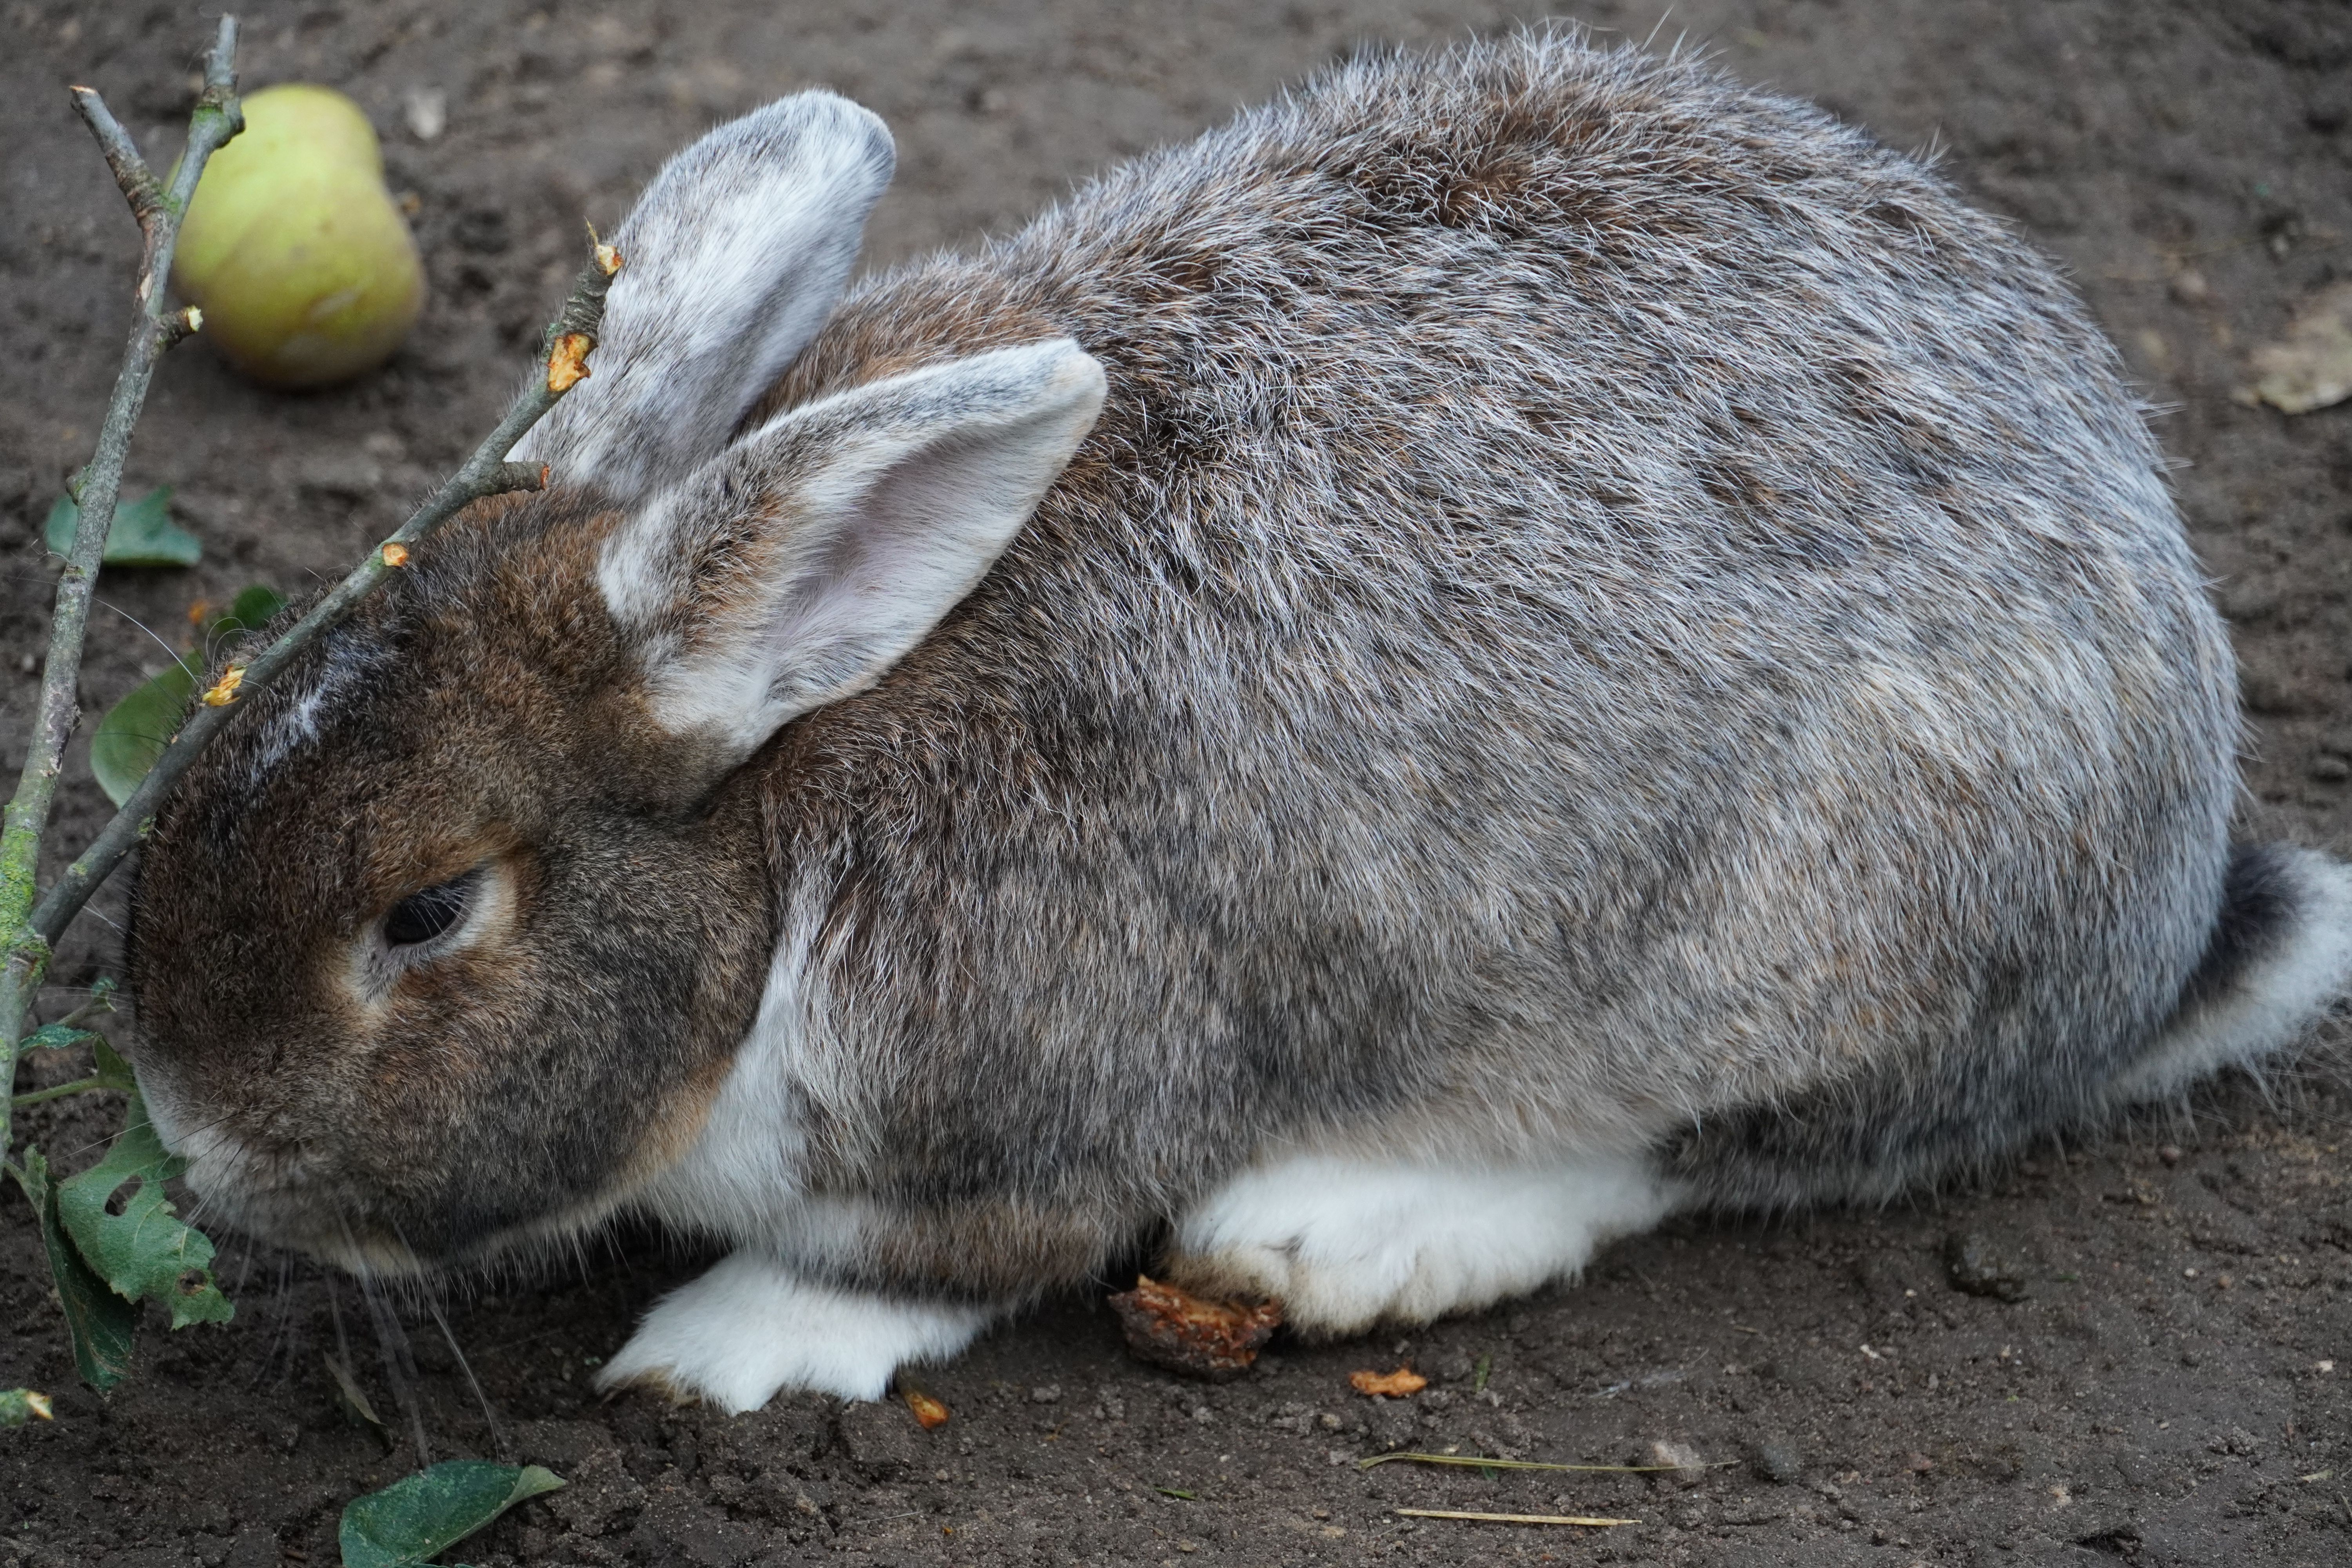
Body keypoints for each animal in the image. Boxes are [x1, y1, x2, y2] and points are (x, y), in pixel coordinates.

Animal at [127, 30, 2352, 1414]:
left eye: (427, 913)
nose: (188, 1139)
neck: (775, 826)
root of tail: (2172, 910)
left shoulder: (1028, 1110)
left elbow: (921, 1263)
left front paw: (722, 1349)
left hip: (1820, 923)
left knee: (1703, 1155)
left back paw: (1347, 1232)